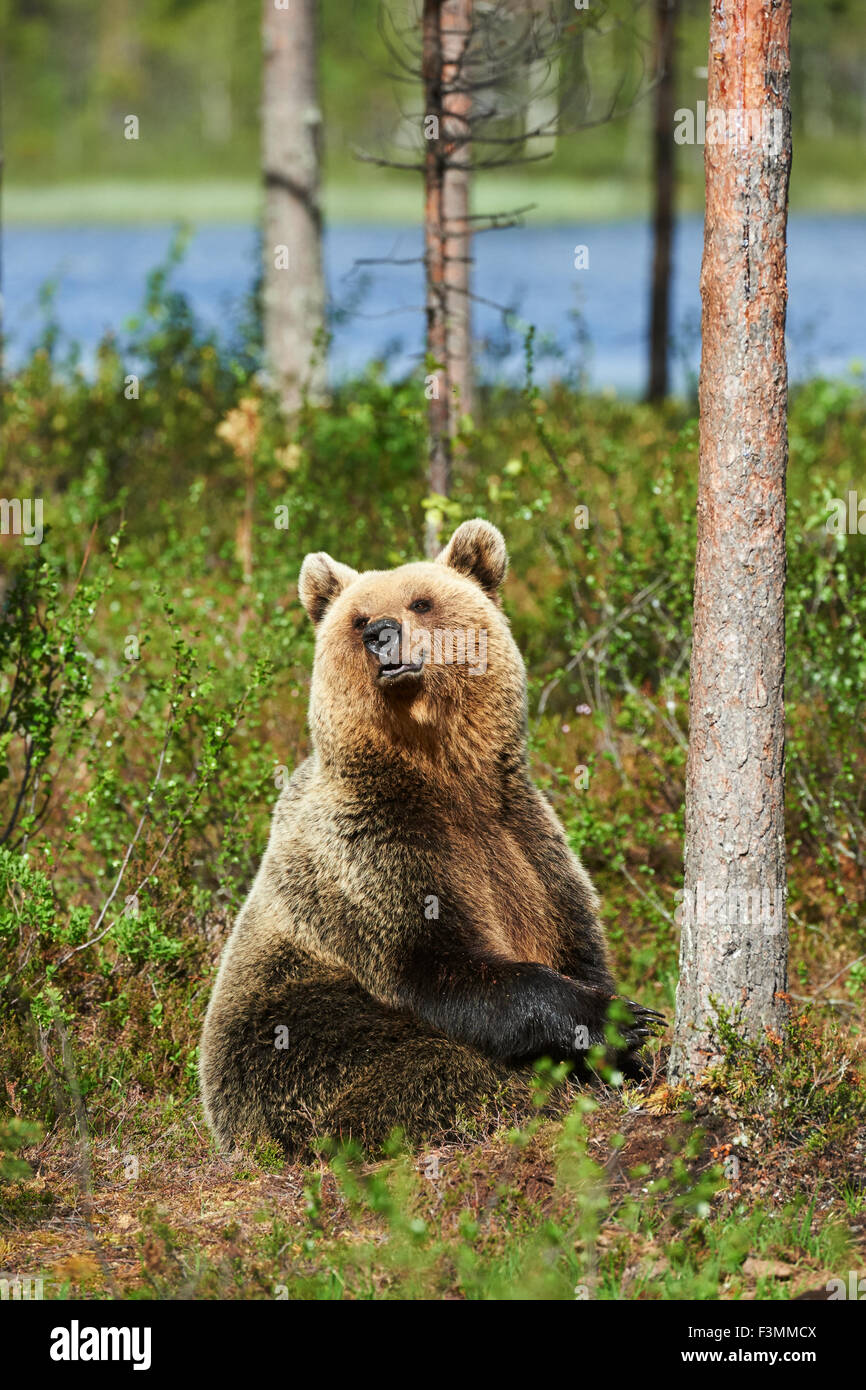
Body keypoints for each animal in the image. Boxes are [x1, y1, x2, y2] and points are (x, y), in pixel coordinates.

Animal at [199, 519, 662, 1154]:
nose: (382, 635)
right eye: (357, 618)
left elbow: (576, 935)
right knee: (425, 1070)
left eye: (422, 601)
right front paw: (618, 1018)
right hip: (289, 1029)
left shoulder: (524, 837)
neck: (443, 774)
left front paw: (628, 1047)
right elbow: (438, 964)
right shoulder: (372, 852)